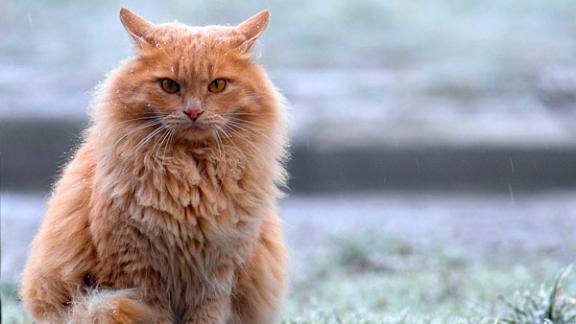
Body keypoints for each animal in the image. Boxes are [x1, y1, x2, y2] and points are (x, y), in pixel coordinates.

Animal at [20, 8, 290, 324]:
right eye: (169, 85)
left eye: (217, 85)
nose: (194, 112)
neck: (191, 174)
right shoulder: (138, 273)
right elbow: (155, 314)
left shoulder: (218, 275)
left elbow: (206, 315)